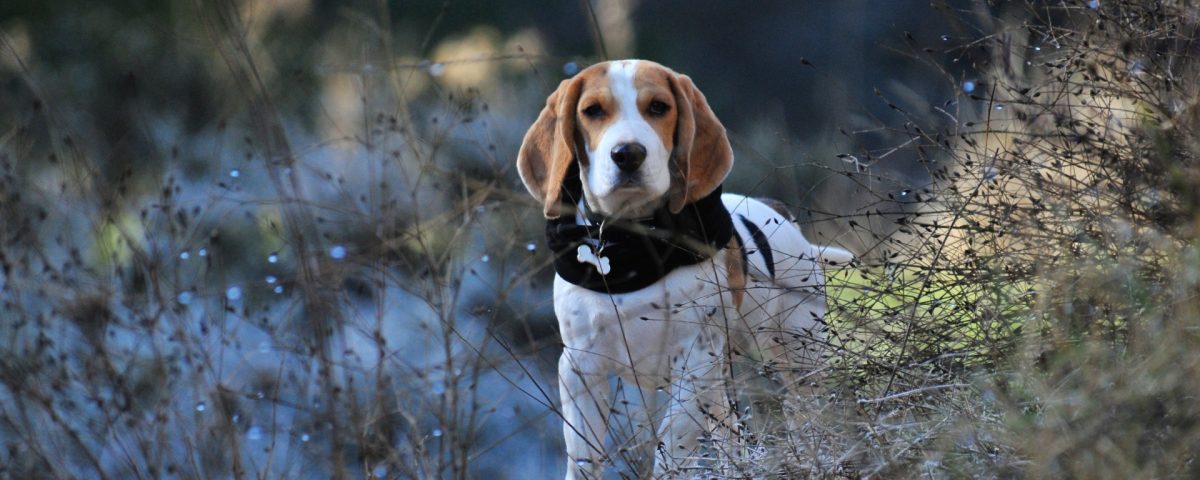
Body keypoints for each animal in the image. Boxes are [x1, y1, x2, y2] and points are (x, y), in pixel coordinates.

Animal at [518, 59, 854, 475]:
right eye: (593, 110)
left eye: (659, 107)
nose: (628, 154)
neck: (632, 246)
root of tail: (780, 213)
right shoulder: (581, 367)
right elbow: (584, 458)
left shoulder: (693, 361)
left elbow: (671, 447)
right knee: (730, 435)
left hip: (799, 358)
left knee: (807, 415)